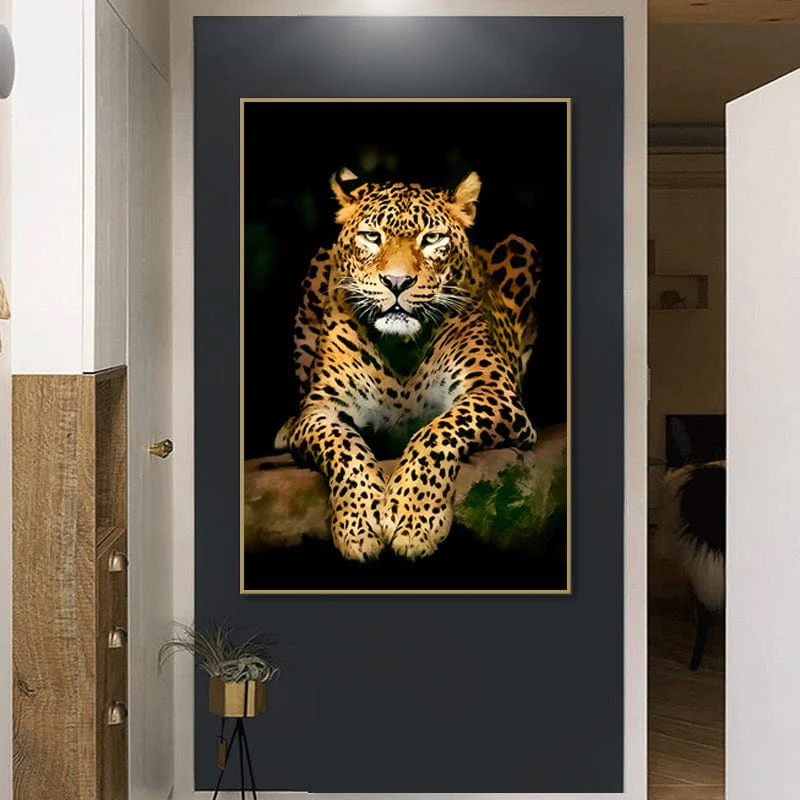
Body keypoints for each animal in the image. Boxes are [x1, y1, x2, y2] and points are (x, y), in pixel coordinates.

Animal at [274, 169, 545, 561]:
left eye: (431, 238)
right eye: (373, 237)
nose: (397, 282)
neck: (400, 348)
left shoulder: (495, 393)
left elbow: (437, 432)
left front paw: (413, 520)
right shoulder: (322, 410)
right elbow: (344, 447)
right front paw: (360, 524)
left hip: (521, 248)